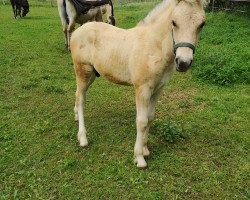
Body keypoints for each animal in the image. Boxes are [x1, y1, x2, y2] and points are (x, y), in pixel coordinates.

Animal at [71, 0, 209, 169]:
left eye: (202, 24)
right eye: (174, 22)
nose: (183, 62)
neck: (153, 47)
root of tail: (77, 31)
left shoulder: (158, 89)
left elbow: (150, 117)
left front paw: (145, 149)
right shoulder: (142, 89)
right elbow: (142, 121)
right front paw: (139, 157)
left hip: (92, 74)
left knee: (78, 95)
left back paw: (76, 117)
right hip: (83, 71)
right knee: (81, 100)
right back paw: (83, 138)